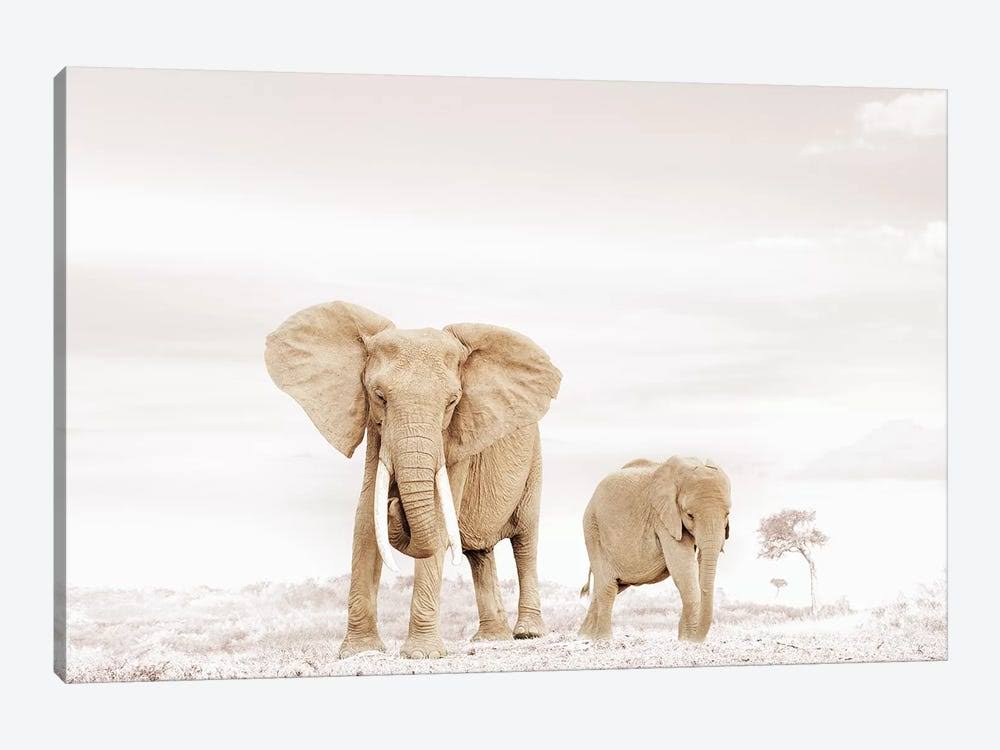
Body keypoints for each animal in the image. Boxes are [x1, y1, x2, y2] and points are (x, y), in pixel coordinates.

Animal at [265, 301, 561, 659]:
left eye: (452, 401)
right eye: (379, 396)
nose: (395, 504)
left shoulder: (457, 440)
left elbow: (436, 518)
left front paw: (421, 654)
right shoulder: (376, 430)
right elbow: (366, 517)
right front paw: (359, 652)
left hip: (534, 463)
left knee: (525, 541)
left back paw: (527, 633)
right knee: (479, 554)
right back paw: (490, 639)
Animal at [578, 456, 731, 642]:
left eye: (727, 514)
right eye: (690, 515)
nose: (695, 639)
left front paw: (685, 638)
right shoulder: (663, 517)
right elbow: (682, 567)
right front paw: (687, 641)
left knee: (609, 587)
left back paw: (584, 637)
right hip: (593, 530)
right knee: (608, 588)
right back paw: (604, 640)